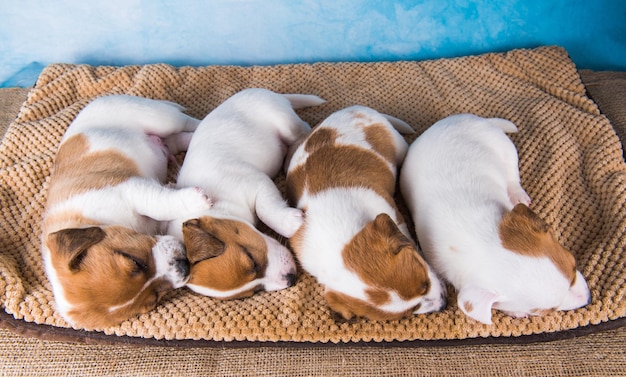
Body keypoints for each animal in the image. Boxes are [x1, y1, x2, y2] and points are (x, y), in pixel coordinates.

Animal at [42, 94, 212, 328]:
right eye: (153, 300)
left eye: (135, 261)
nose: (184, 266)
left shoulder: (130, 188)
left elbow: (158, 203)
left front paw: (197, 200)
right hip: (166, 137)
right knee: (181, 139)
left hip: (160, 118)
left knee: (191, 122)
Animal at [286, 106, 446, 320]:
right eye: (410, 312)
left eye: (424, 284)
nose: (444, 304)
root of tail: (353, 108)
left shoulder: (393, 214)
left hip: (398, 144)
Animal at [400, 112, 588, 324]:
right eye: (545, 311)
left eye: (574, 267)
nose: (588, 298)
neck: (479, 239)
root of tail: (475, 119)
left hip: (506, 149)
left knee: (512, 175)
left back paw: (517, 193)